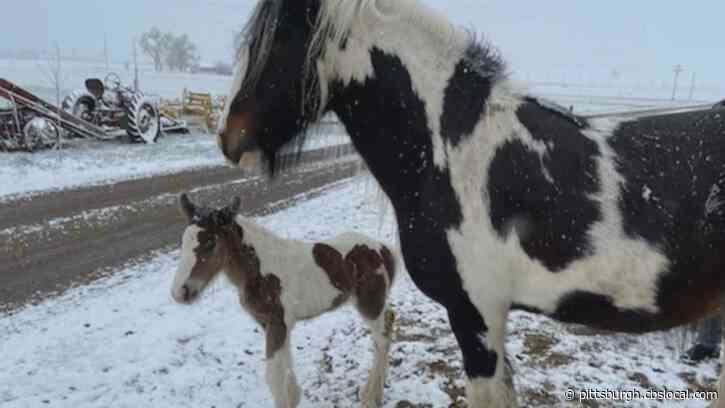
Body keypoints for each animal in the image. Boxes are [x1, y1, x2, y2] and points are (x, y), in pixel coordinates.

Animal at [171, 193, 397, 408]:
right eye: (182, 242)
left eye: (210, 243)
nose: (179, 293)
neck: (259, 272)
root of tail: (384, 250)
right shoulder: (271, 324)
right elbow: (285, 370)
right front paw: (295, 396)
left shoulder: (278, 323)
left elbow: (274, 378)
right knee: (386, 328)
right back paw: (375, 394)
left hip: (370, 305)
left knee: (382, 340)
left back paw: (370, 397)